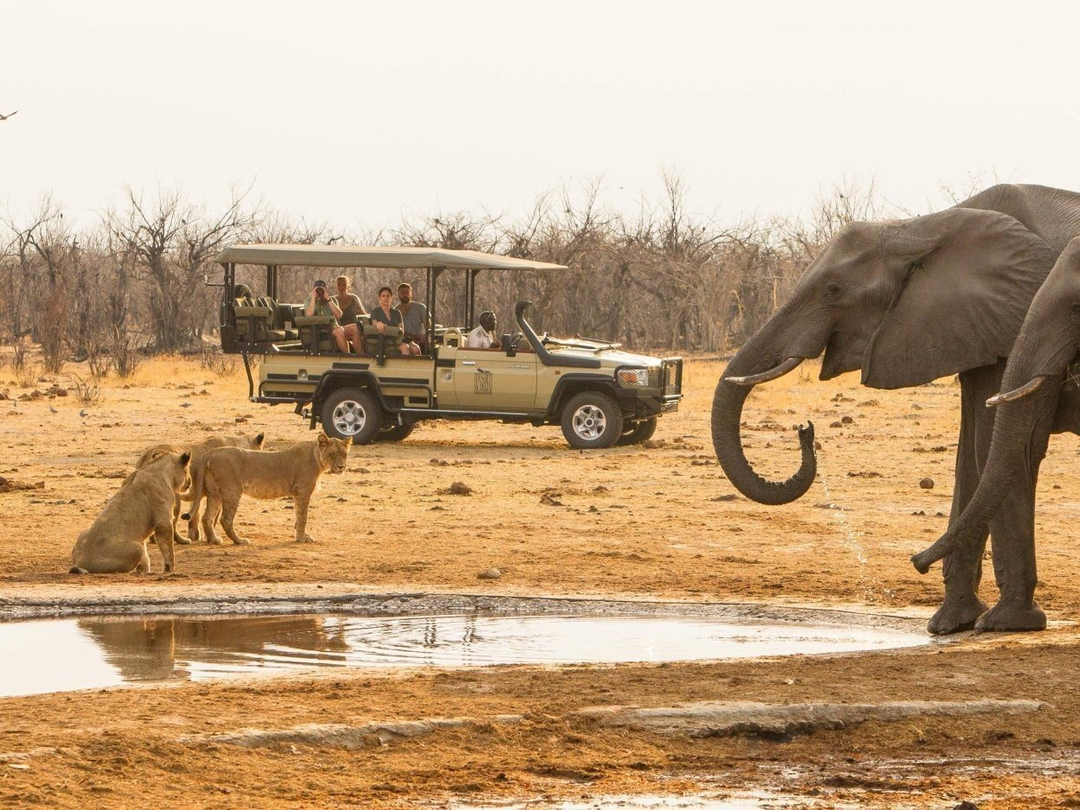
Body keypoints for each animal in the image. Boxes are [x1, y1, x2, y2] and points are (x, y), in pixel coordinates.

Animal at [136, 432, 265, 545]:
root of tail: (146, 456)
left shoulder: (197, 494)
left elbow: (194, 515)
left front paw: (195, 536)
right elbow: (212, 518)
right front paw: (210, 538)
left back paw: (154, 539)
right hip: (174, 498)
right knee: (172, 522)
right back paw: (182, 541)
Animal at [187, 432, 350, 545]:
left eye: (344, 454)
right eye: (332, 454)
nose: (341, 466)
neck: (317, 457)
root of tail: (210, 453)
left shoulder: (297, 494)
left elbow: (298, 515)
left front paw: (299, 536)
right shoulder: (303, 491)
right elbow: (303, 516)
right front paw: (302, 538)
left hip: (215, 493)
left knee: (207, 517)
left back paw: (214, 540)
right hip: (232, 490)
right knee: (225, 519)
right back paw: (240, 541)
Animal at [712, 194, 1062, 635]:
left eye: (832, 290)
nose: (805, 428)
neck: (920, 228)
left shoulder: (1012, 324)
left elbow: (999, 449)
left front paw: (1005, 624)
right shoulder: (974, 328)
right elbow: (973, 455)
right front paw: (949, 625)